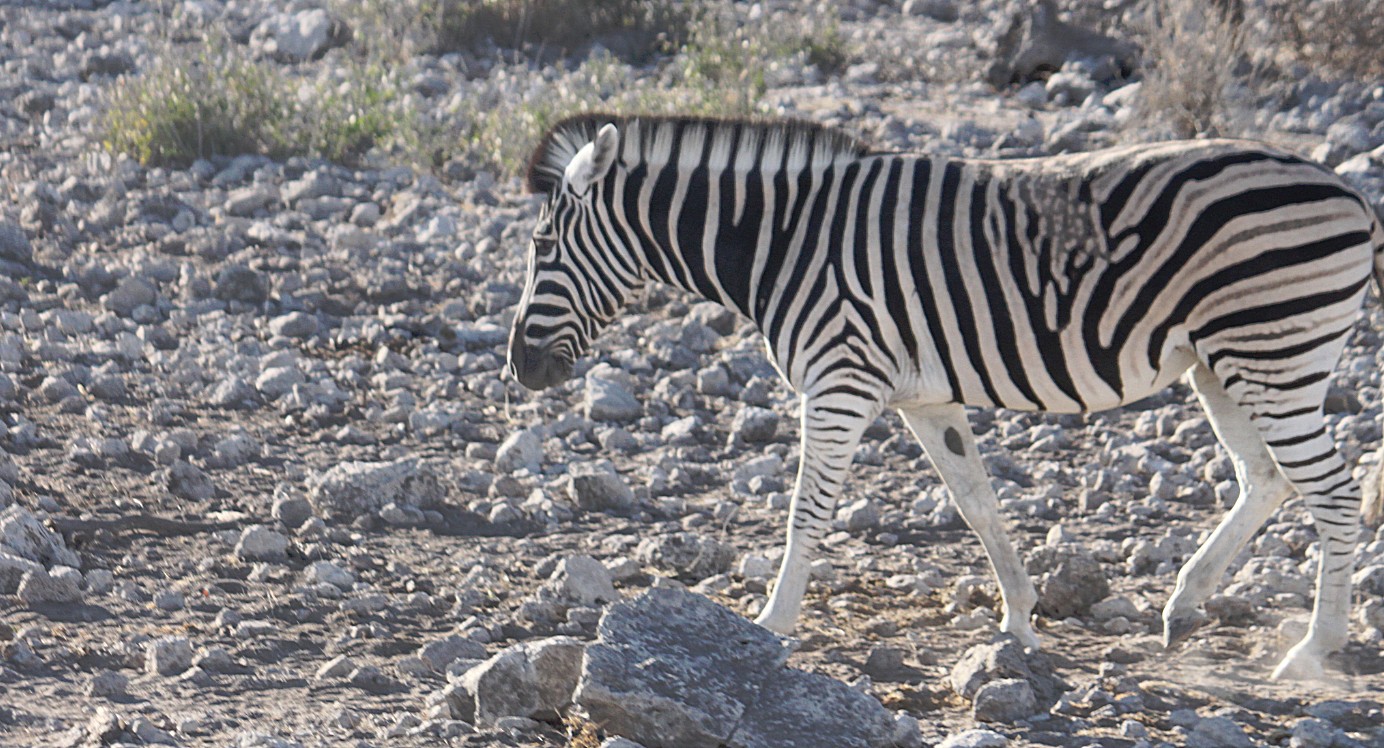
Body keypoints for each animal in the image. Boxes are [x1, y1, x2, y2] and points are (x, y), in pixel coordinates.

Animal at [506, 114, 1384, 681]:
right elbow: (978, 504)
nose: (518, 366)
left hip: (1272, 355)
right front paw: (1021, 622)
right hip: (1223, 363)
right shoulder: (923, 398)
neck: (781, 241)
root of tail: (1349, 193)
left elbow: (806, 512)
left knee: (1333, 495)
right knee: (1266, 477)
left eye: (543, 246)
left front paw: (770, 626)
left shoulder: (840, 382)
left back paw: (1312, 651)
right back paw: (1186, 604)